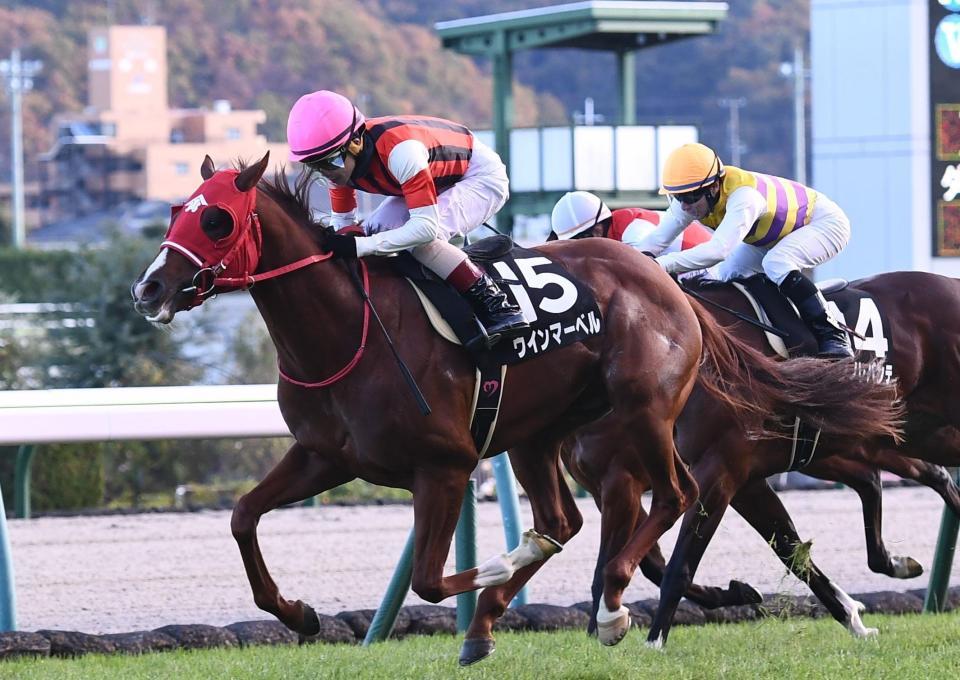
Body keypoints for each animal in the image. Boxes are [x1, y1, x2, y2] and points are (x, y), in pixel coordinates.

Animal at [130, 153, 901, 663]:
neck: (349, 330)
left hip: (646, 410)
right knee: (566, 520)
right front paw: (299, 613)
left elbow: (431, 579)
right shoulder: (326, 455)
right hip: (540, 434)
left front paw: (501, 579)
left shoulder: (444, 466)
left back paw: (610, 609)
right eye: (172, 211)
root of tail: (668, 286)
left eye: (218, 220)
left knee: (675, 496)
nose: (149, 288)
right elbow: (243, 517)